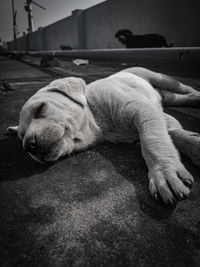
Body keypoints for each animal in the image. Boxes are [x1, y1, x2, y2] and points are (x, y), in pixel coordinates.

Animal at [7, 67, 200, 205]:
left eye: (39, 109)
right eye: (21, 137)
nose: (29, 145)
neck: (98, 121)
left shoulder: (143, 109)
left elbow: (154, 139)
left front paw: (165, 172)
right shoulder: (156, 114)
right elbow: (173, 133)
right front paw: (193, 145)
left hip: (160, 78)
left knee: (186, 88)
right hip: (168, 96)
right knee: (181, 97)